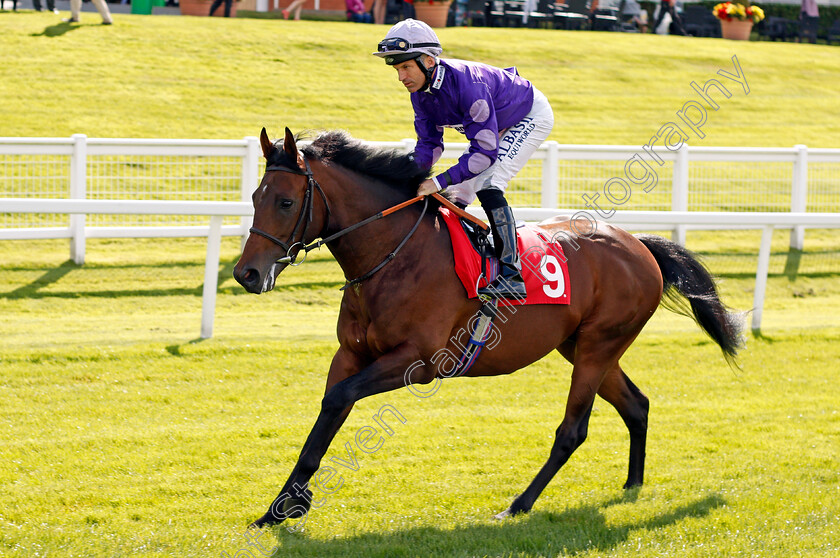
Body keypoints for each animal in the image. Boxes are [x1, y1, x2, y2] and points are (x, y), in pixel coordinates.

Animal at [231, 127, 740, 528]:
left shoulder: (419, 362)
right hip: (582, 346)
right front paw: (280, 508)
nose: (247, 274)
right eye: (254, 197)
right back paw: (632, 485)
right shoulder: (351, 354)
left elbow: (339, 400)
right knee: (636, 405)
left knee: (572, 431)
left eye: (286, 201)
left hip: (600, 345)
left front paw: (292, 503)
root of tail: (640, 245)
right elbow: (328, 413)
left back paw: (518, 505)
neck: (395, 255)